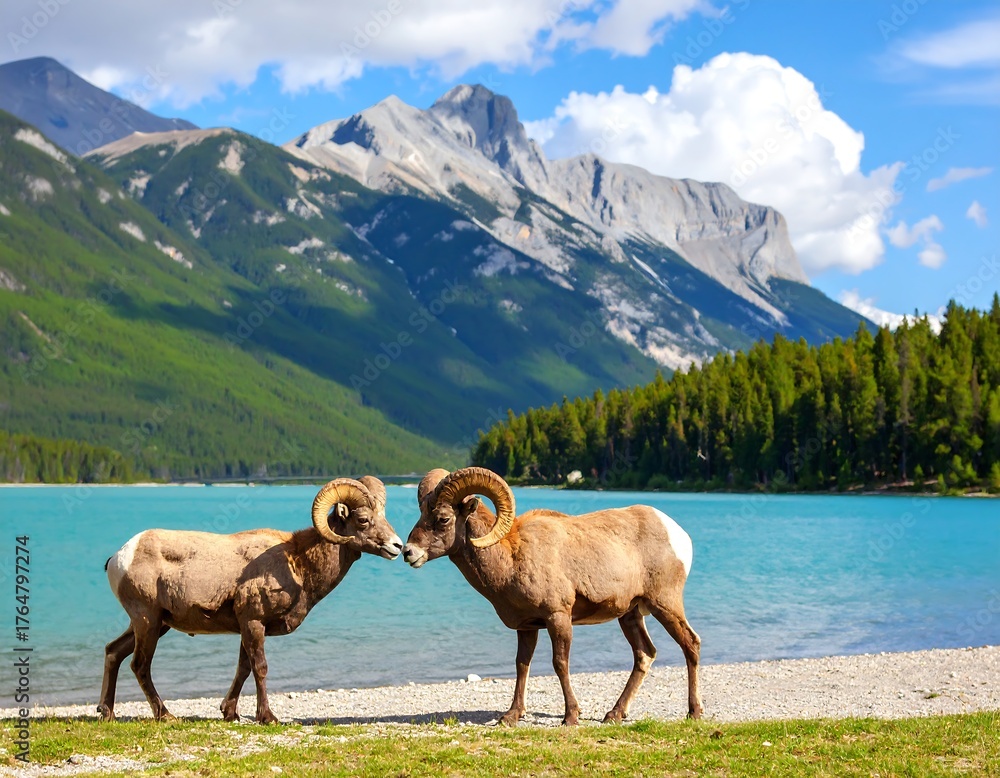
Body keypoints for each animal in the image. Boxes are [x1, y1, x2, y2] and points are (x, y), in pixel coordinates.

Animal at [98, 476, 402, 724]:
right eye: (363, 520)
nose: (397, 546)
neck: (297, 563)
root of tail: (119, 558)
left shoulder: (248, 627)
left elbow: (243, 668)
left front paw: (230, 713)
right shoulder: (254, 622)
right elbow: (260, 667)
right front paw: (267, 717)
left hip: (154, 624)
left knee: (114, 651)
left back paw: (107, 712)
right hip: (147, 621)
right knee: (139, 665)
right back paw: (166, 715)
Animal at [403, 467, 702, 726]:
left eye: (443, 518)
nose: (408, 552)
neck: (511, 556)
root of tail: (678, 535)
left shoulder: (558, 618)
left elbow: (559, 664)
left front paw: (570, 717)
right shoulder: (527, 627)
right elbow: (522, 665)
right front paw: (511, 716)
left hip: (665, 605)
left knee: (690, 644)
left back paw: (694, 712)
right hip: (630, 615)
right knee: (644, 655)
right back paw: (614, 715)